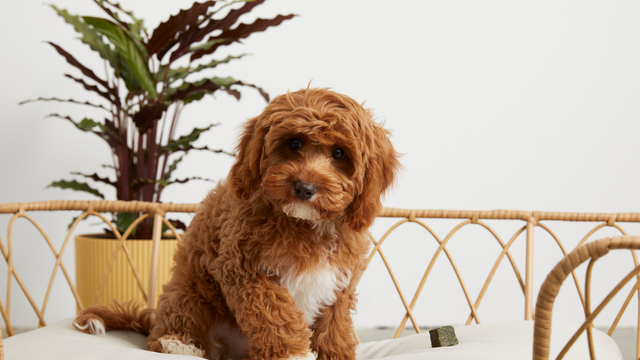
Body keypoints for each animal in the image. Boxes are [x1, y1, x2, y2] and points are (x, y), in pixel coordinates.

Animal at [74, 88, 400, 360]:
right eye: (294, 143)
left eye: (339, 153)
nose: (305, 188)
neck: (306, 223)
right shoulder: (242, 268)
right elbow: (274, 312)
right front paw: (291, 354)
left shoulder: (339, 280)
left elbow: (335, 324)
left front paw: (336, 354)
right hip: (189, 293)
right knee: (168, 330)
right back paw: (177, 344)